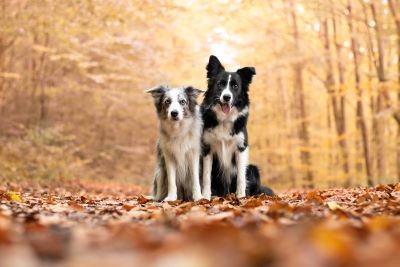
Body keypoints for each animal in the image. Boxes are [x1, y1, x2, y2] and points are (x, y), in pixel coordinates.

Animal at [202, 55, 274, 200]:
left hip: (253, 169)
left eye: (235, 86)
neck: (225, 119)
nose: (226, 97)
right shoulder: (207, 148)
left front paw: (241, 197)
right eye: (220, 84)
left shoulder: (241, 148)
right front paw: (205, 197)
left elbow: (241, 177)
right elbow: (206, 177)